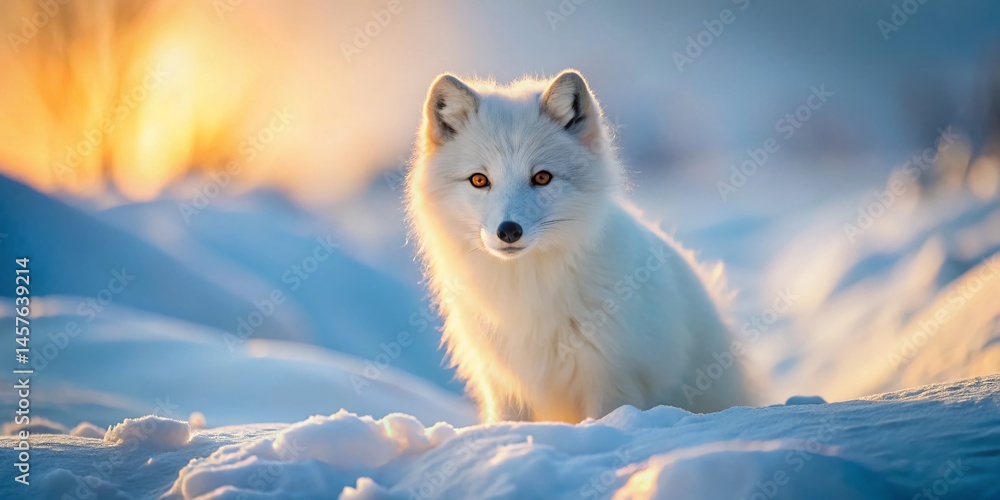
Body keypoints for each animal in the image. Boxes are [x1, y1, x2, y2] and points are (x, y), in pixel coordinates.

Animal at [405, 69, 754, 423]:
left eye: (542, 177)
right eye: (479, 180)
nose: (508, 231)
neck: (529, 290)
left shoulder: (612, 382)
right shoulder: (503, 387)